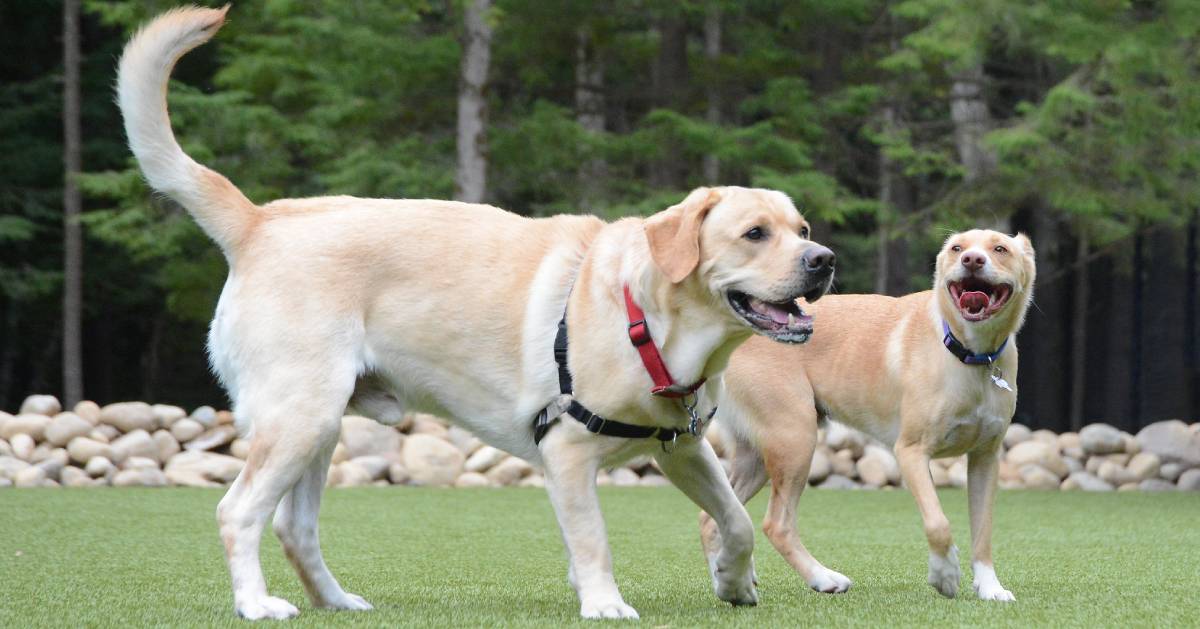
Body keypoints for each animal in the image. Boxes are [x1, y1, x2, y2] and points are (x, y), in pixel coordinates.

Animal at [119, 7, 835, 619]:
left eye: (800, 229)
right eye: (755, 234)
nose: (824, 260)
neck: (650, 322)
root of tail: (259, 220)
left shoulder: (683, 448)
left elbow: (735, 521)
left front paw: (734, 582)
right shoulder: (568, 452)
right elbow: (594, 538)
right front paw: (604, 602)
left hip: (317, 426)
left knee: (295, 527)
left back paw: (337, 601)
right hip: (298, 415)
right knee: (237, 512)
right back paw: (255, 603)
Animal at [705, 229, 1036, 600]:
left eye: (1000, 249)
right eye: (956, 248)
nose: (973, 260)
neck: (968, 354)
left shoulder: (985, 459)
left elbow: (983, 532)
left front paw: (990, 587)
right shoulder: (911, 452)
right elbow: (938, 522)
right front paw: (945, 573)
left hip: (760, 454)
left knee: (713, 520)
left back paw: (728, 580)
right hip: (795, 436)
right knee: (776, 524)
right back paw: (822, 578)